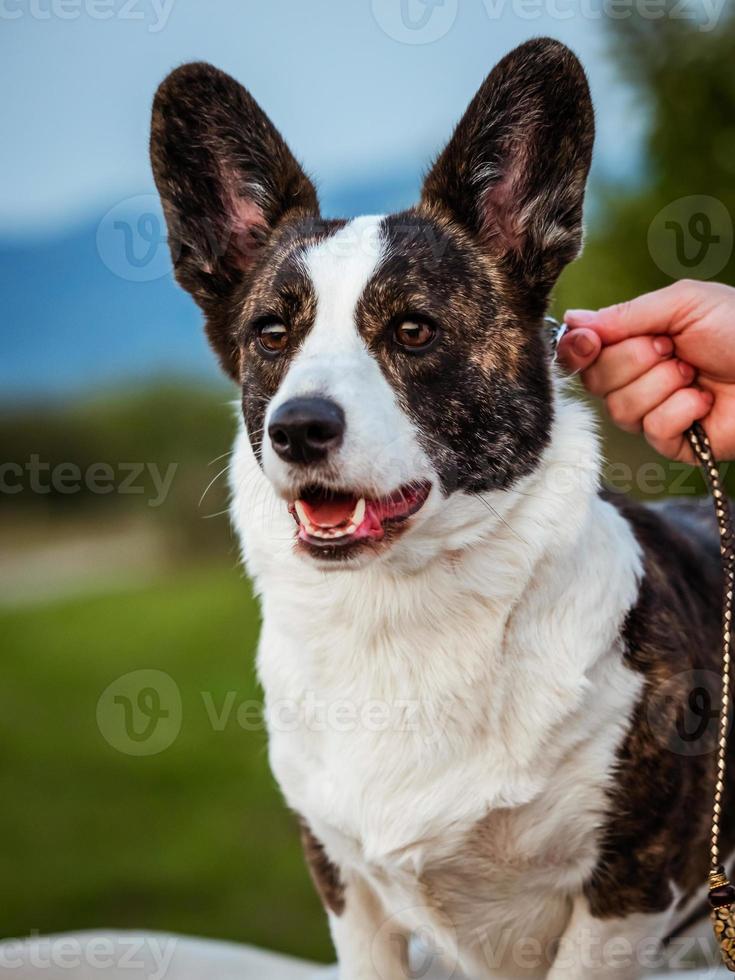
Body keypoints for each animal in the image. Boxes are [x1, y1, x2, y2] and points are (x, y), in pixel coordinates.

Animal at [150, 34, 732, 976]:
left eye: (413, 330)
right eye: (271, 335)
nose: (296, 428)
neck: (401, 610)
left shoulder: (624, 897)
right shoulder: (346, 887)